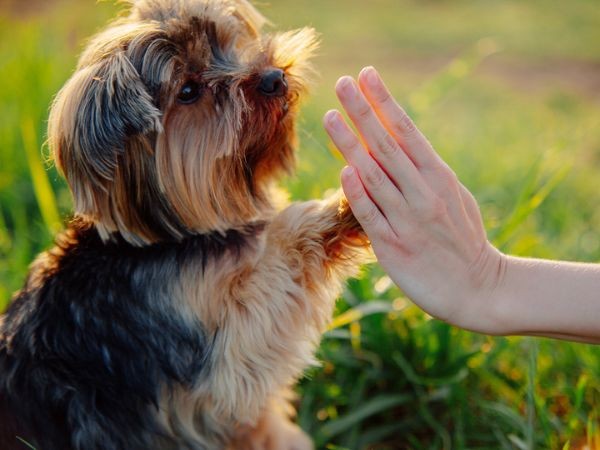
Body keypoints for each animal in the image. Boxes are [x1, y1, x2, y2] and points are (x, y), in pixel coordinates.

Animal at [0, 0, 369, 449]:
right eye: (188, 91)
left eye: (227, 45)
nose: (274, 78)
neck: (170, 237)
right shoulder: (220, 355)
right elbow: (273, 273)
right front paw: (350, 204)